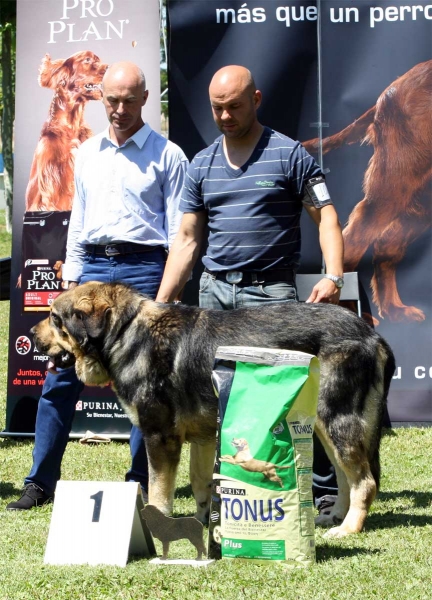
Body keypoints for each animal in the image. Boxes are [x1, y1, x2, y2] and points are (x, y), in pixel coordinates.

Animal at [31, 282, 394, 540]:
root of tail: (372, 334)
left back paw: (348, 528)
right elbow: (200, 483)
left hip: (337, 419)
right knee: (346, 477)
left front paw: (158, 523)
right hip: (325, 425)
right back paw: (335, 516)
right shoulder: (203, 437)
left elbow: (159, 489)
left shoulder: (159, 436)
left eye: (55, 318)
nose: (32, 336)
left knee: (364, 481)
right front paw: (203, 520)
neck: (125, 332)